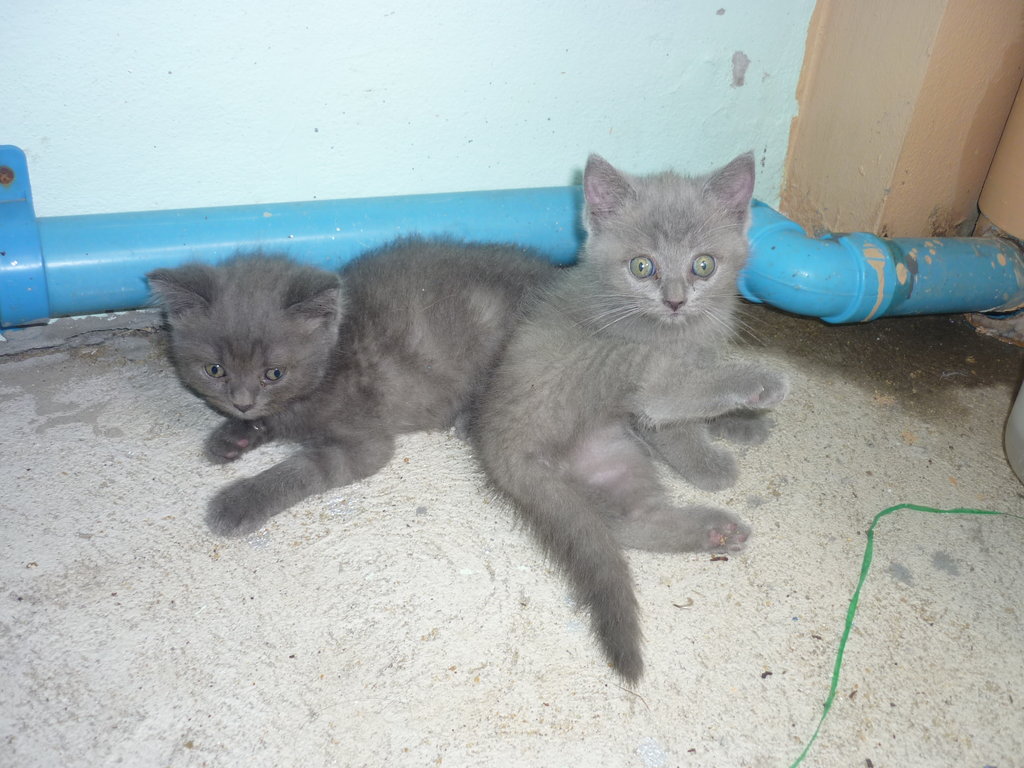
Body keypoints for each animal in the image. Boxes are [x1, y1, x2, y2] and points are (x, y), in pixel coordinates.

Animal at [147, 237, 560, 537]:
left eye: (274, 373)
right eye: (214, 370)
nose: (242, 403)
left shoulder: (363, 442)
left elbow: (302, 468)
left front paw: (240, 501)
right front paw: (233, 436)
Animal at [471, 152, 789, 683]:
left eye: (704, 265)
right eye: (643, 266)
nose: (675, 299)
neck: (685, 330)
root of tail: (501, 445)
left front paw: (744, 423)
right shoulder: (653, 373)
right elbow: (677, 423)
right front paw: (712, 461)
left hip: (611, 457)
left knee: (629, 524)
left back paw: (713, 532)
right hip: (612, 360)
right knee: (663, 392)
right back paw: (760, 382)